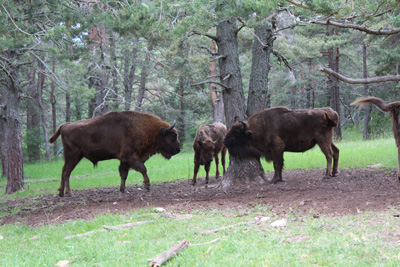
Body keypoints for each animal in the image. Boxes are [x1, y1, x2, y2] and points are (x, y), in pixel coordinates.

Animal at [48, 110, 181, 197]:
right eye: (173, 136)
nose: (178, 149)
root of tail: (65, 125)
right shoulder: (130, 157)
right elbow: (143, 169)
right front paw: (147, 185)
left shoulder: (125, 160)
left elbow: (124, 174)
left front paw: (123, 190)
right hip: (73, 155)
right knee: (67, 172)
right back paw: (69, 194)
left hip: (72, 156)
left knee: (63, 171)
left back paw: (61, 193)